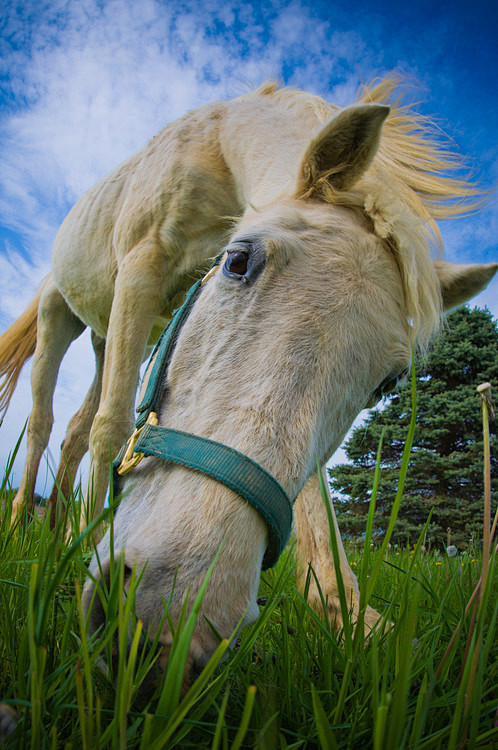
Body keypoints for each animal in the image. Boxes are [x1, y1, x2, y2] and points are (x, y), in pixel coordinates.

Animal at [0, 78, 498, 688]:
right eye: (237, 262)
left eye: (387, 383)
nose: (171, 617)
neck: (216, 147)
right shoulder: (142, 269)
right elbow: (113, 425)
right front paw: (87, 545)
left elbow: (315, 505)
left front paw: (352, 621)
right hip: (61, 314)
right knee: (47, 421)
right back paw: (26, 526)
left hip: (106, 332)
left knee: (73, 429)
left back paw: (54, 535)